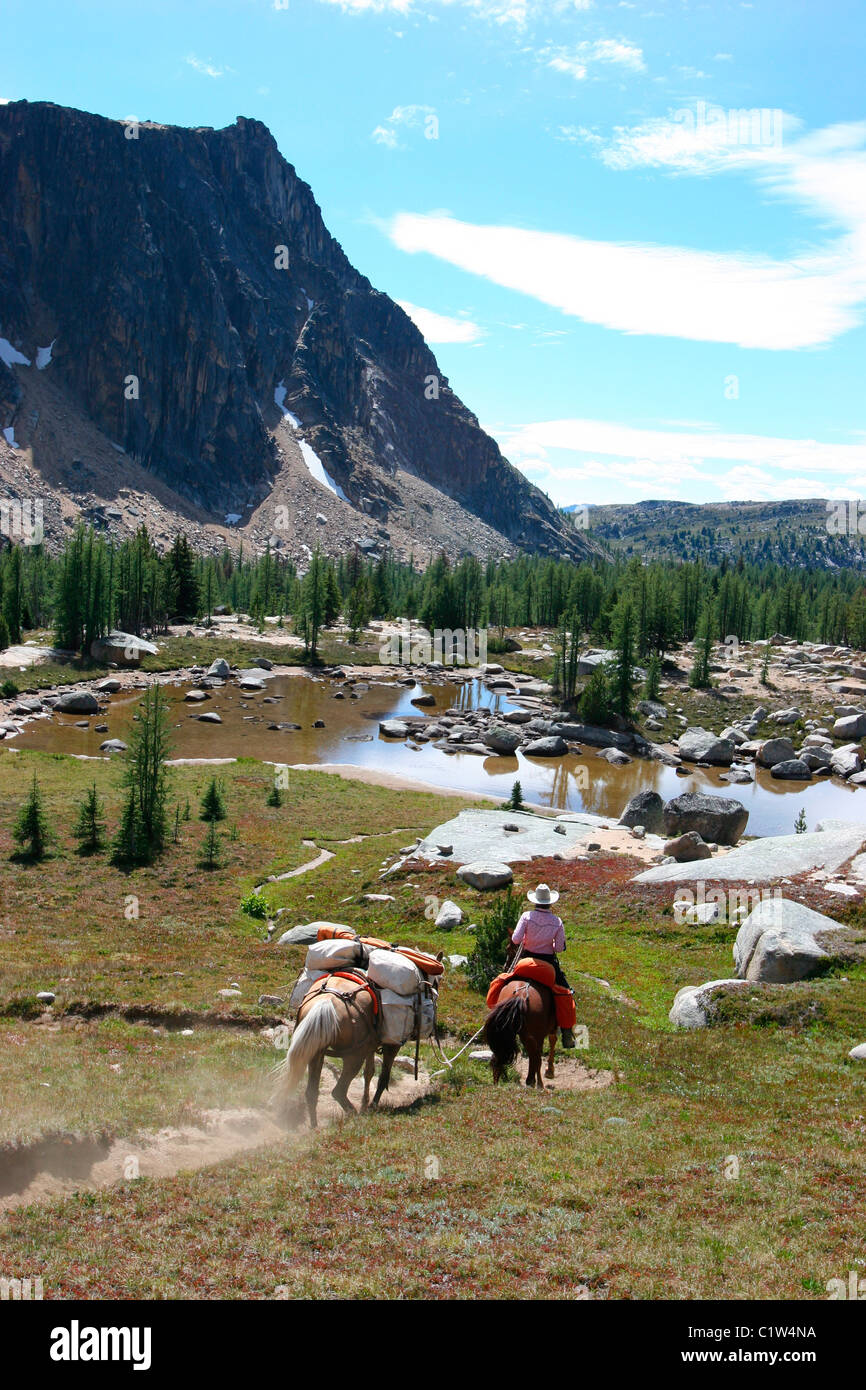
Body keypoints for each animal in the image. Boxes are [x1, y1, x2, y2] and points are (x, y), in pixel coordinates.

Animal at [271, 978, 400, 1128]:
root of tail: (326, 1001)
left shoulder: (371, 1045)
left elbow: (369, 1072)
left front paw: (365, 1103)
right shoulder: (392, 1045)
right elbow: (382, 1077)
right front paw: (371, 1106)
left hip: (316, 1052)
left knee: (311, 1092)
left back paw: (314, 1126)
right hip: (353, 1056)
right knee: (339, 1091)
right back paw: (355, 1117)